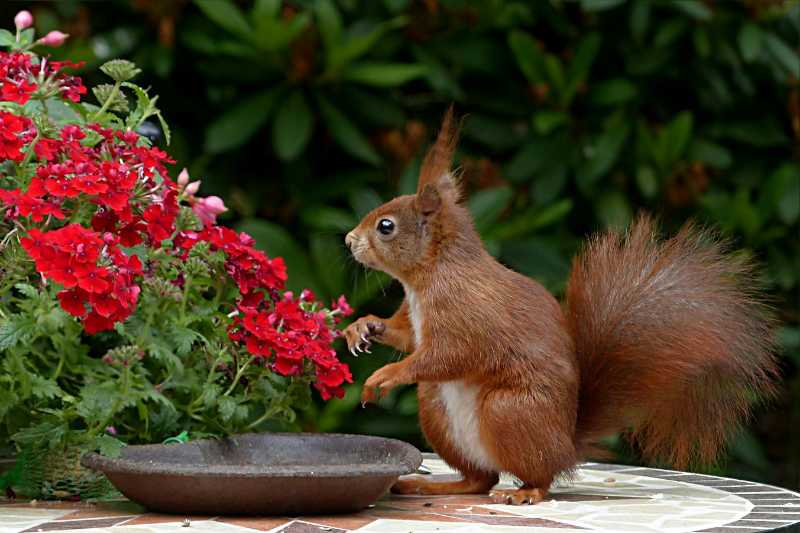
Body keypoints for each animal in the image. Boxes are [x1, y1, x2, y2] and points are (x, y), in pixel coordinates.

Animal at [342, 107, 776, 502]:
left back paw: (524, 492)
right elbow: (405, 337)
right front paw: (363, 327)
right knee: (480, 478)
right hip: (436, 409)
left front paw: (386, 375)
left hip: (508, 411)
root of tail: (566, 445)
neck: (429, 276)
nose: (348, 240)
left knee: (537, 476)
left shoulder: (466, 313)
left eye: (386, 226)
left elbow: (448, 354)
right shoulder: (415, 319)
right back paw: (432, 484)